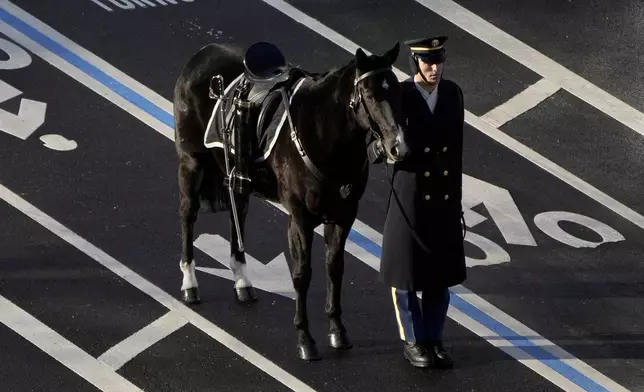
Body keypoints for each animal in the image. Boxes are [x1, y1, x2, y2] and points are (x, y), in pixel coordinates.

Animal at [174, 41, 410, 360]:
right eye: (371, 95)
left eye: (398, 91)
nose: (398, 147)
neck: (324, 135)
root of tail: (202, 53)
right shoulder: (299, 217)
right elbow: (302, 274)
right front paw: (305, 339)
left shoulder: (344, 214)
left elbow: (334, 268)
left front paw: (337, 331)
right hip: (192, 163)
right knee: (188, 215)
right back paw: (190, 283)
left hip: (236, 177)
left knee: (238, 216)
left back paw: (243, 282)